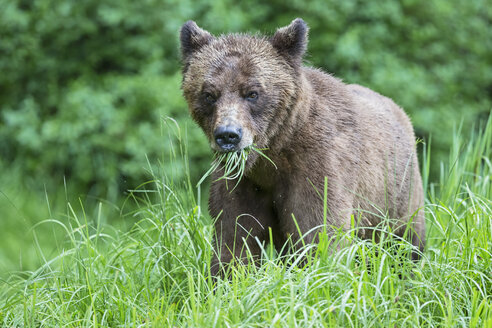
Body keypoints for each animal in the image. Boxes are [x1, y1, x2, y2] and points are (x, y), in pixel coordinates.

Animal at [179, 18, 424, 274]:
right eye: (209, 94)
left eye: (252, 93)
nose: (228, 135)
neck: (272, 155)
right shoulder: (242, 183)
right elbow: (235, 240)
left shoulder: (317, 168)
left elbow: (319, 232)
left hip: (398, 195)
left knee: (406, 243)